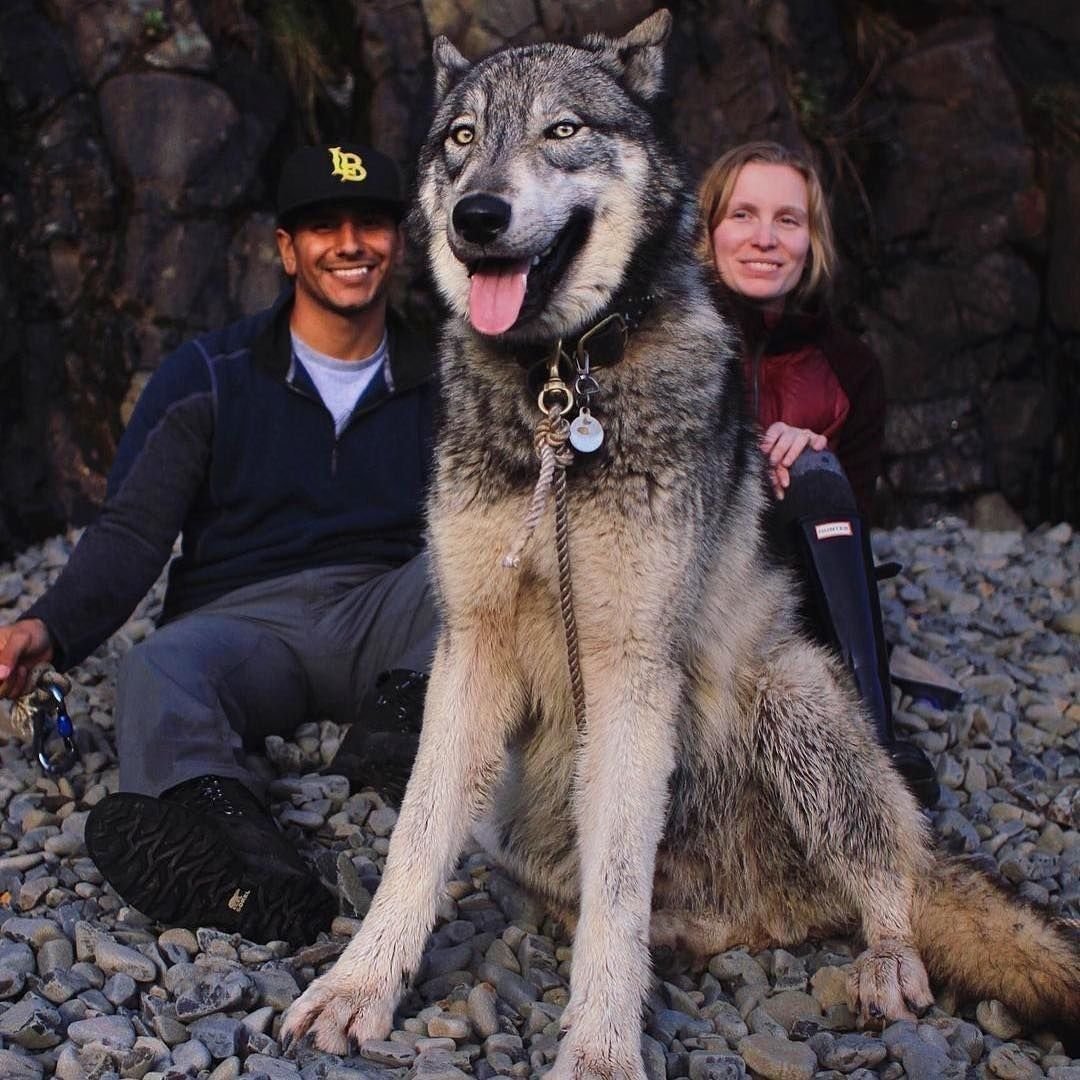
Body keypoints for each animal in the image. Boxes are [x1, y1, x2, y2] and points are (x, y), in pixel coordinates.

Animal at [282, 10, 1080, 1071]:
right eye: (460, 138)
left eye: (563, 130)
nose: (477, 216)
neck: (563, 389)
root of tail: (766, 911)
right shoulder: (471, 649)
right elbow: (414, 839)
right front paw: (360, 985)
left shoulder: (631, 666)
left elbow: (620, 884)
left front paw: (602, 1046)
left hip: (793, 691)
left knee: (893, 877)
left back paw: (884, 961)